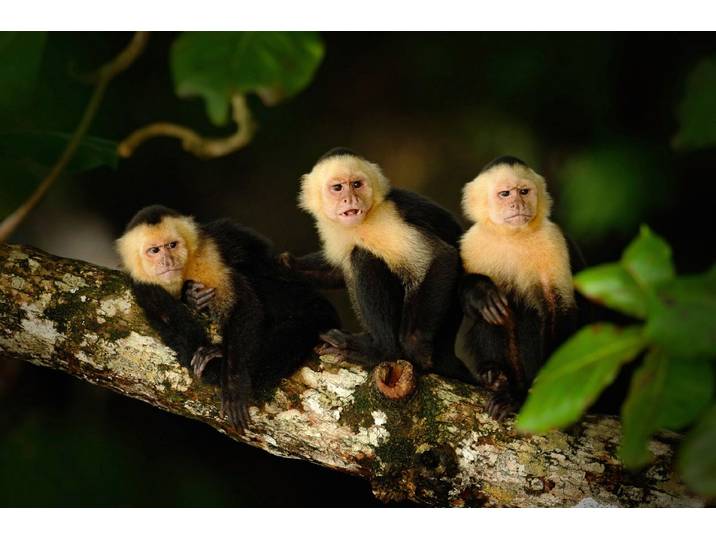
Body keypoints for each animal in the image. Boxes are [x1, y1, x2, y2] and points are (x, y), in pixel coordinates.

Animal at [116, 205, 340, 431]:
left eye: (172, 245)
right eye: (154, 251)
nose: (167, 261)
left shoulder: (206, 254)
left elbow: (242, 303)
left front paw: (233, 383)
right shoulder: (140, 281)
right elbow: (166, 317)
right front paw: (191, 303)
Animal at [283, 148, 468, 379]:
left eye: (356, 184)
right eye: (337, 188)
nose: (350, 200)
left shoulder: (384, 219)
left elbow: (441, 257)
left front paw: (413, 345)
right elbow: (335, 271)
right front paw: (288, 264)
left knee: (362, 256)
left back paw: (381, 349)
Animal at [456, 156, 584, 420]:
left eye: (524, 191)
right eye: (505, 194)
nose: (517, 204)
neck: (512, 236)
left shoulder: (553, 240)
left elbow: (558, 307)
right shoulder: (472, 242)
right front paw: (479, 292)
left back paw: (517, 394)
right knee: (494, 313)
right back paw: (496, 375)